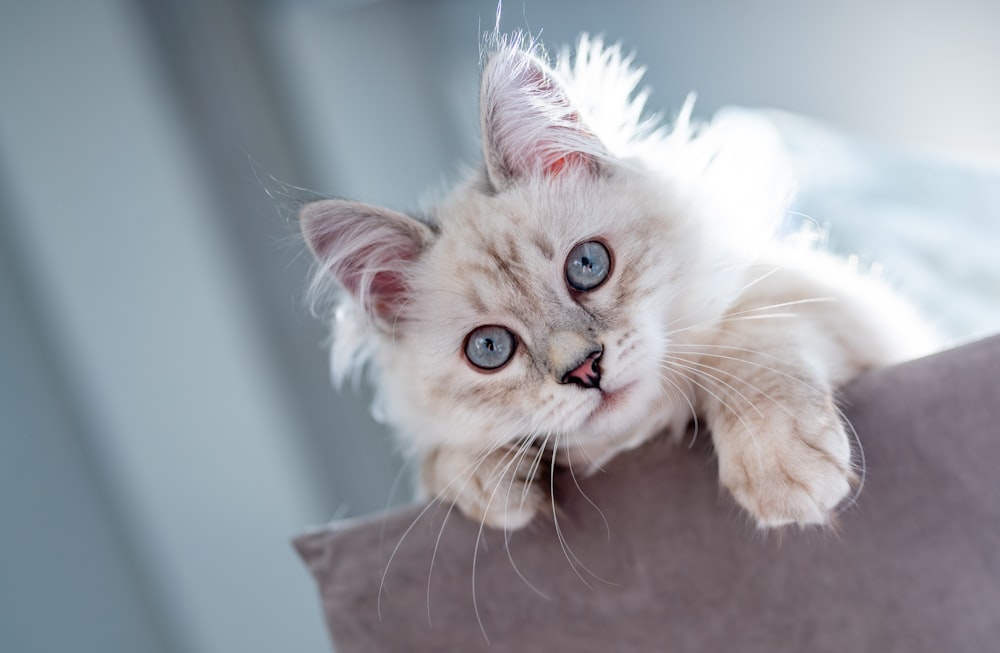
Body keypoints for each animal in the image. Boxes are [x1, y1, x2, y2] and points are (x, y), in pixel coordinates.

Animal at [300, 33, 932, 528]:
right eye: (489, 349)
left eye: (587, 266)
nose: (585, 370)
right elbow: (438, 460)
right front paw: (495, 489)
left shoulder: (843, 307)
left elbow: (747, 345)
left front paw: (780, 469)